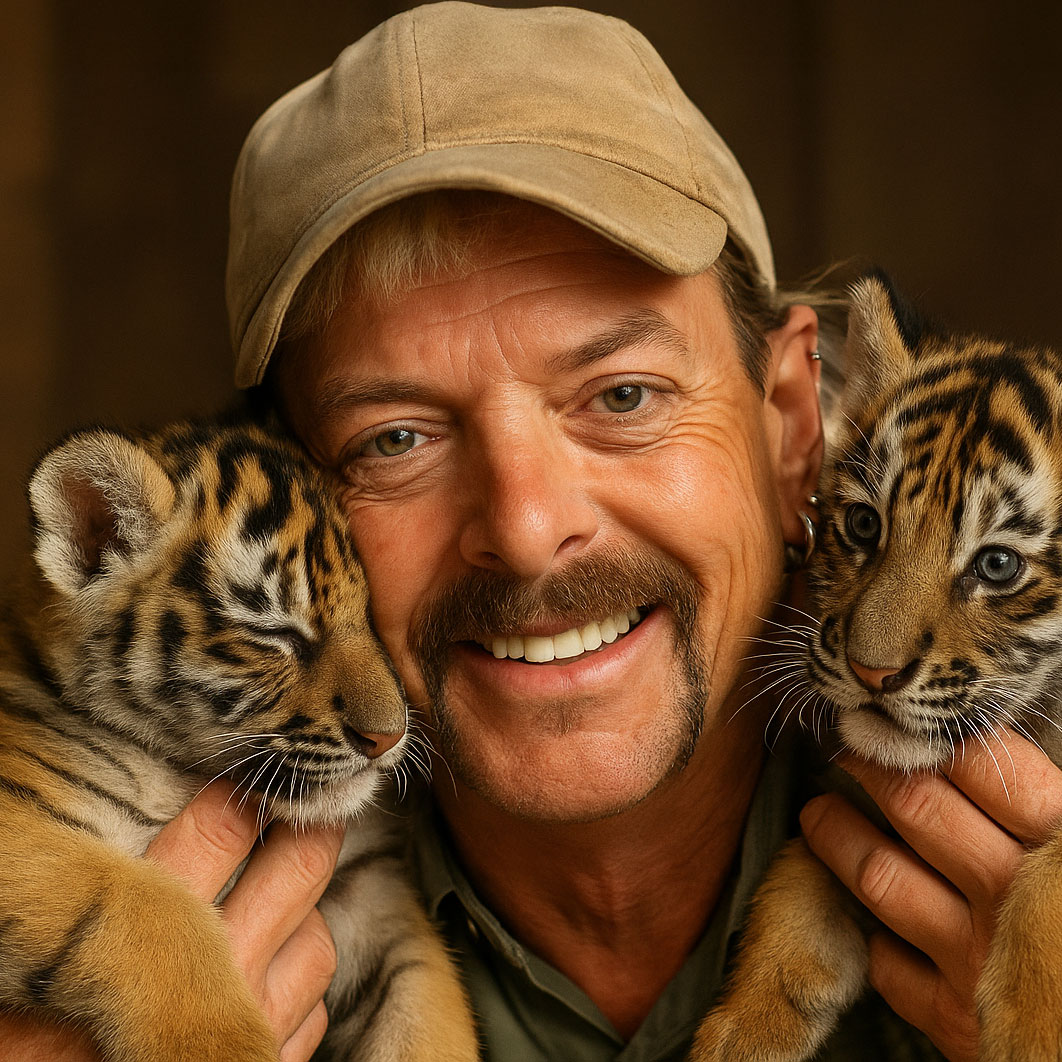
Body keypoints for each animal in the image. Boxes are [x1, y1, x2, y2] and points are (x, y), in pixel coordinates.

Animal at [0, 414, 480, 1061]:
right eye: (276, 632)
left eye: (376, 616)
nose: (386, 737)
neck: (184, 769)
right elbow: (143, 907)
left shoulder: (372, 894)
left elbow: (427, 1004)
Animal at [691, 272, 1062, 1061]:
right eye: (865, 525)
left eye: (998, 565)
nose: (871, 674)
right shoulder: (844, 809)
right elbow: (791, 896)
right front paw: (739, 1032)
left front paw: (1033, 1030)